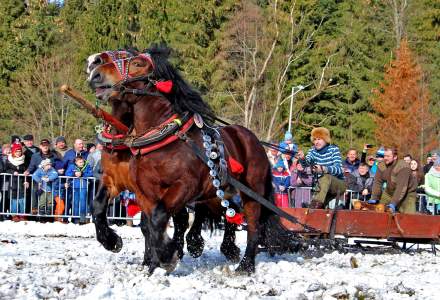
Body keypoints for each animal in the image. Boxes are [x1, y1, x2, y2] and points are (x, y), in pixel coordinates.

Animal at [87, 45, 298, 274]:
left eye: (136, 63)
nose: (94, 71)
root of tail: (252, 138)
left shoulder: (185, 186)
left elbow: (158, 218)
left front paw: (167, 255)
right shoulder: (134, 188)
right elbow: (112, 211)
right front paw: (120, 245)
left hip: (252, 191)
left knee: (253, 225)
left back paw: (245, 265)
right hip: (217, 192)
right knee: (228, 213)